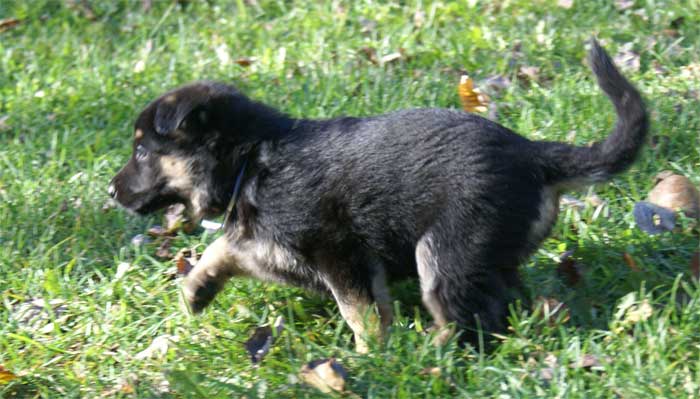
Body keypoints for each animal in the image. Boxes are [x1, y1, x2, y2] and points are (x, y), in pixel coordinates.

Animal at [109, 41, 644, 354]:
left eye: (142, 150)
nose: (111, 191)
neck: (251, 160)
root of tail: (533, 154)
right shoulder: (264, 244)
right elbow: (224, 248)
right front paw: (194, 290)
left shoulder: (339, 252)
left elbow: (361, 311)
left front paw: (370, 358)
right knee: (504, 304)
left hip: (444, 251)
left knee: (470, 318)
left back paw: (432, 355)